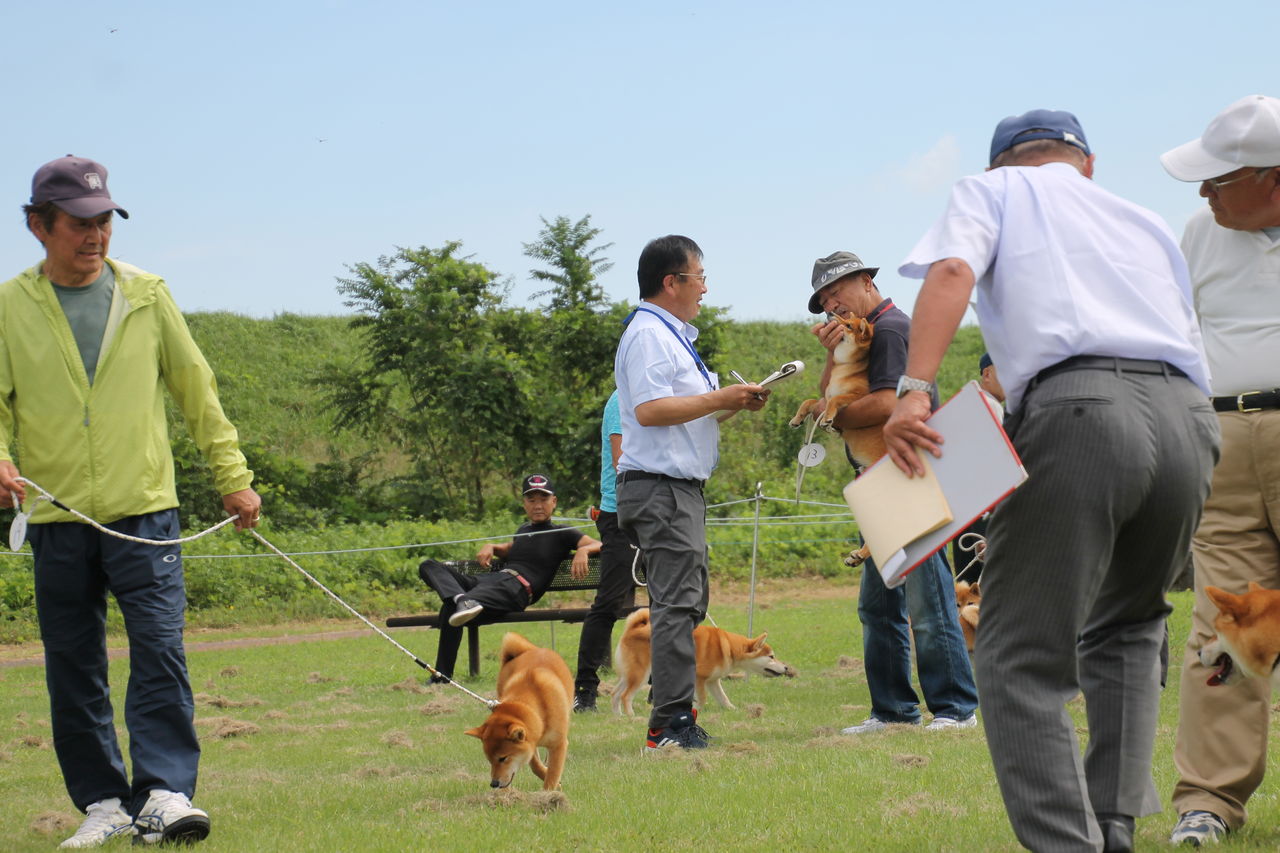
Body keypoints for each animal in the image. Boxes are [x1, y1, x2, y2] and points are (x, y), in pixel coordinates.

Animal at [464, 632, 572, 790]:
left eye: (503, 758)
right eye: (489, 759)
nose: (493, 784)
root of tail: (529, 650)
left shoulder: (558, 744)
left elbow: (552, 775)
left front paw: (549, 793)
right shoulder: (530, 741)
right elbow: (536, 766)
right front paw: (548, 777)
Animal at [610, 608, 795, 716]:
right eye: (771, 656)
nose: (786, 667)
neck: (728, 648)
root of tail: (633, 629)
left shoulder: (713, 681)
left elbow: (723, 698)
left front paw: (733, 710)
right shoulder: (700, 678)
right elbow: (703, 698)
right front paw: (697, 711)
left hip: (629, 674)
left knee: (615, 693)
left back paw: (618, 716)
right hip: (641, 674)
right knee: (625, 696)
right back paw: (631, 717)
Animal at [789, 314, 886, 568]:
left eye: (849, 325)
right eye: (846, 317)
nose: (831, 315)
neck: (844, 370)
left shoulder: (857, 398)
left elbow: (835, 401)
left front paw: (828, 419)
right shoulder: (823, 398)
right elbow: (812, 401)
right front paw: (797, 418)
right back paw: (858, 556)